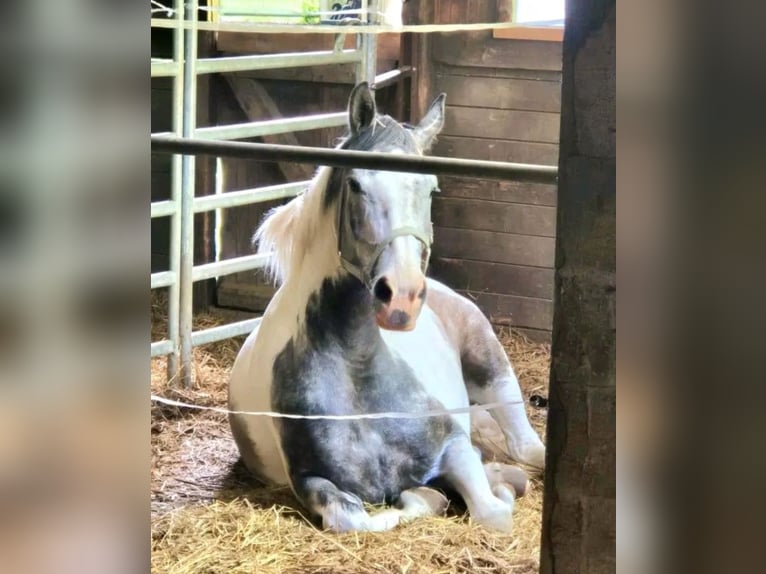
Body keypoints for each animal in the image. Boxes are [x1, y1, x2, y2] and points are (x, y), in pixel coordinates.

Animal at [228, 82, 546, 533]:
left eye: (431, 188)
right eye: (357, 183)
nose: (402, 297)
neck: (358, 368)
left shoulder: (453, 445)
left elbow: (492, 511)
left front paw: (496, 486)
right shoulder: (310, 481)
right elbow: (357, 518)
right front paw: (435, 494)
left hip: (492, 367)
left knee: (526, 447)